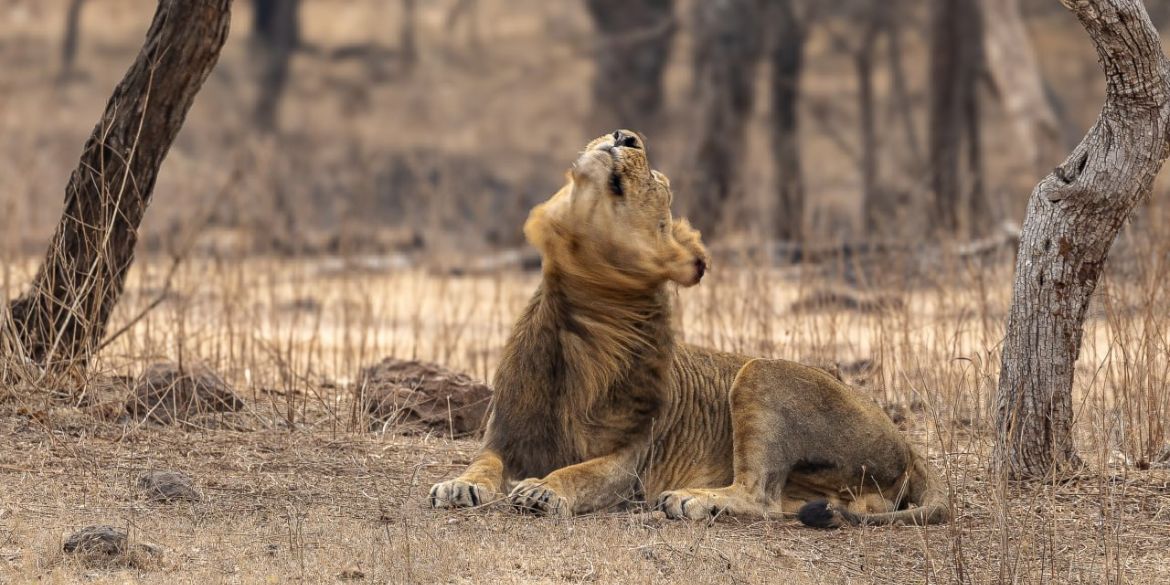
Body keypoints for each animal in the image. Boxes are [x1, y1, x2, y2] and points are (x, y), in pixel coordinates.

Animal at [430, 130, 950, 528]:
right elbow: (482, 462)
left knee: (758, 495)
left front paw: (542, 491)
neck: (578, 320)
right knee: (793, 504)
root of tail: (906, 441)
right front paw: (458, 486)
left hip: (760, 373)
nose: (624, 135)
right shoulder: (503, 435)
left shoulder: (628, 461)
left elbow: (578, 473)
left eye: (658, 183)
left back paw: (688, 500)